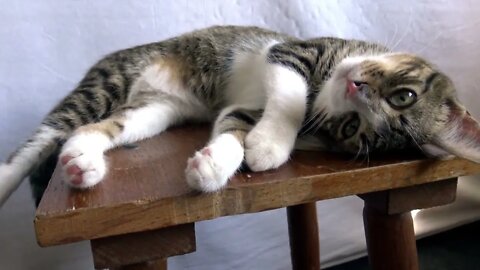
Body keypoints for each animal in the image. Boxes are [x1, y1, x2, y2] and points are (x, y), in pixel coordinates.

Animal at [0, 25, 480, 207]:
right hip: (109, 81)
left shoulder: (242, 109)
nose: (354, 87)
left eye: (351, 127)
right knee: (44, 137)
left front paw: (217, 164)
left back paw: (82, 163)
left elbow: (235, 124)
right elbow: (290, 92)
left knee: (99, 127)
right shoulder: (295, 50)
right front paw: (271, 142)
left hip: (155, 112)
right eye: (404, 96)